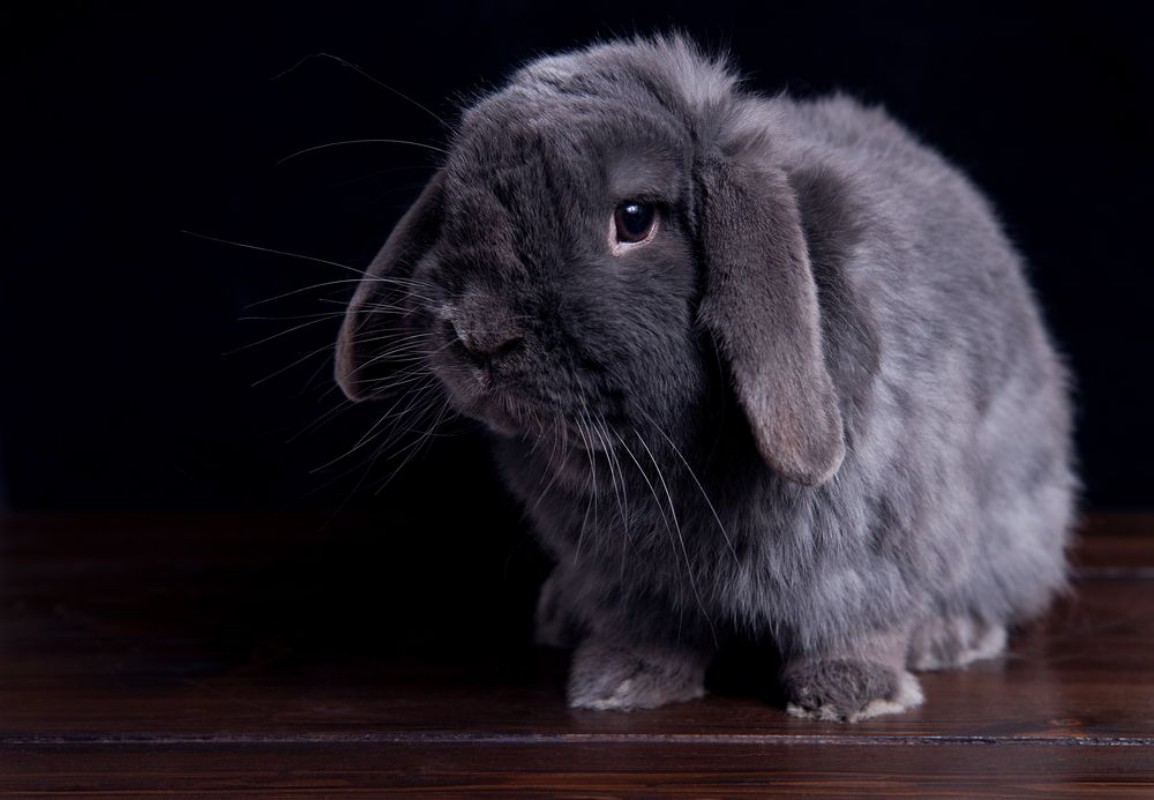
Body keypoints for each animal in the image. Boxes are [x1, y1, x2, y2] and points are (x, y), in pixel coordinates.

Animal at [333, 35, 1076, 721]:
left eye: (634, 218)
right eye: (458, 206)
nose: (478, 332)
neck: (656, 455)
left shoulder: (871, 538)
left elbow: (858, 619)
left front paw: (848, 694)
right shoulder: (626, 572)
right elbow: (648, 627)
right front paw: (621, 680)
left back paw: (951, 635)